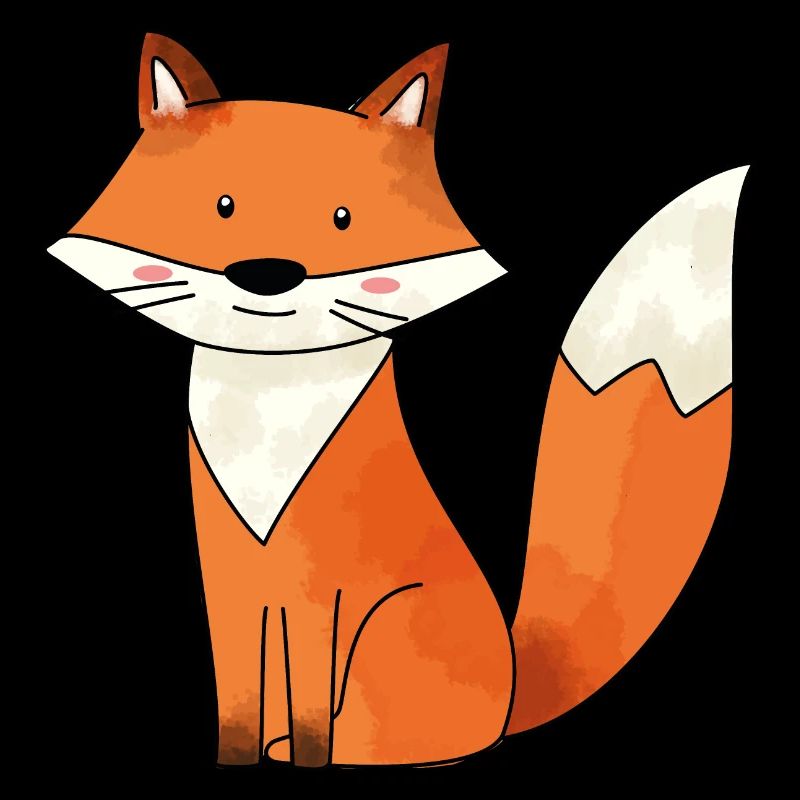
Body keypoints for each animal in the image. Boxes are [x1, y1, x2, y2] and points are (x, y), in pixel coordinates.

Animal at [47, 33, 744, 768]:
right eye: (223, 206)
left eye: (343, 218)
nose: (268, 276)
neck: (272, 397)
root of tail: (513, 687)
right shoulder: (230, 582)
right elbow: (236, 700)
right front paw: (235, 760)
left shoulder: (323, 596)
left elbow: (311, 706)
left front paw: (310, 763)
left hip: (386, 634)